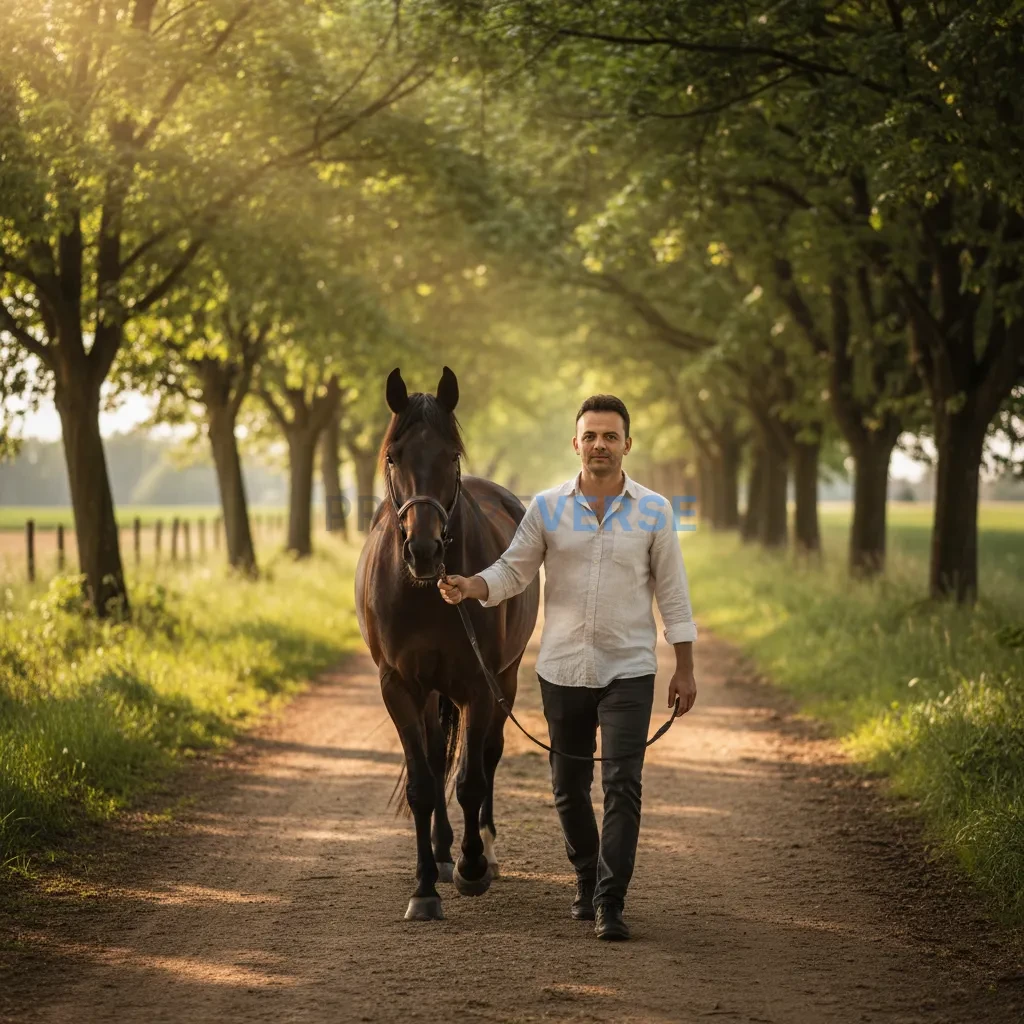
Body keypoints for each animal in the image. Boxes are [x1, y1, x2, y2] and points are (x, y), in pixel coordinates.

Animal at [354, 365, 540, 921]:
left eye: (451, 455)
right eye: (393, 457)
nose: (423, 550)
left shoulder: (479, 685)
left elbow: (471, 779)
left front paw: (472, 867)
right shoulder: (399, 686)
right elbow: (422, 781)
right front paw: (424, 890)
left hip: (505, 679)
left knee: (488, 755)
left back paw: (484, 851)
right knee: (438, 757)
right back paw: (438, 854)